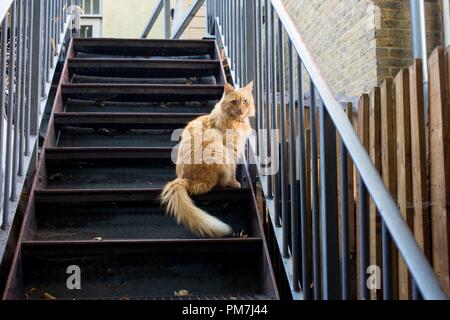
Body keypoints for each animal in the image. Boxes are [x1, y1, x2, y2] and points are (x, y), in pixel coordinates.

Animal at [161, 82, 253, 238]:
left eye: (245, 101)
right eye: (234, 102)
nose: (241, 110)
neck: (236, 121)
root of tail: (182, 178)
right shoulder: (231, 150)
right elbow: (233, 170)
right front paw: (234, 183)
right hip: (218, 153)